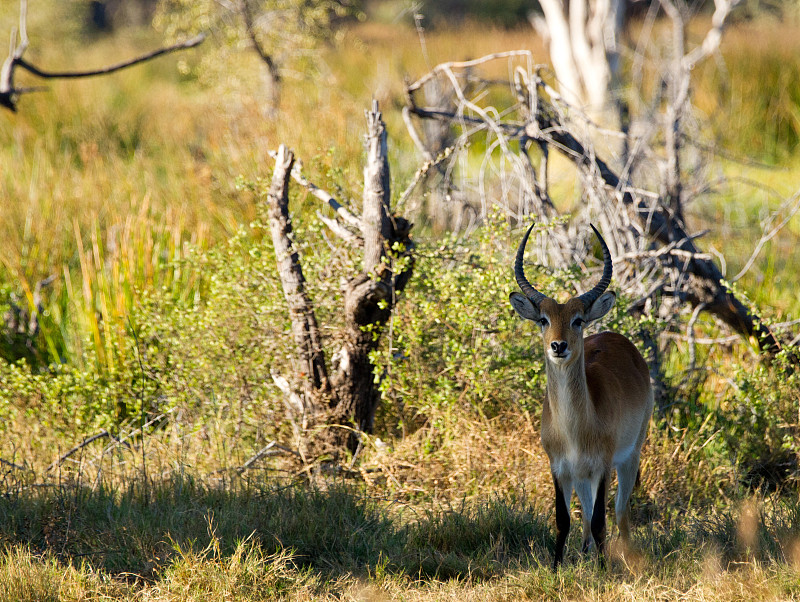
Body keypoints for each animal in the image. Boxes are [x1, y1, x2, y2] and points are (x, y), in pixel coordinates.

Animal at [510, 221, 652, 568]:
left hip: (629, 457)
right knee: (586, 516)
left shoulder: (602, 466)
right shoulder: (560, 468)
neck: (574, 428)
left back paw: (624, 556)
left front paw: (604, 570)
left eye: (578, 320)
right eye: (544, 319)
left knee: (619, 512)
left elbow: (602, 519)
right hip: (581, 475)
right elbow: (564, 520)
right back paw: (587, 553)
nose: (558, 345)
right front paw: (556, 568)